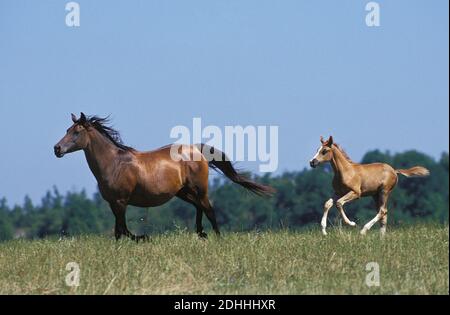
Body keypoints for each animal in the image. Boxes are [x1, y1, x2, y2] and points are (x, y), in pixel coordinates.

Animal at [52, 113, 274, 242]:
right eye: (67, 130)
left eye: (76, 132)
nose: (57, 149)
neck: (114, 164)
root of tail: (197, 150)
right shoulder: (113, 203)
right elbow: (118, 230)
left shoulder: (121, 201)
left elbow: (122, 229)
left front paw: (143, 237)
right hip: (183, 192)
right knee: (200, 208)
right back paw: (201, 233)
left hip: (199, 189)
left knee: (209, 210)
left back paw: (217, 238)